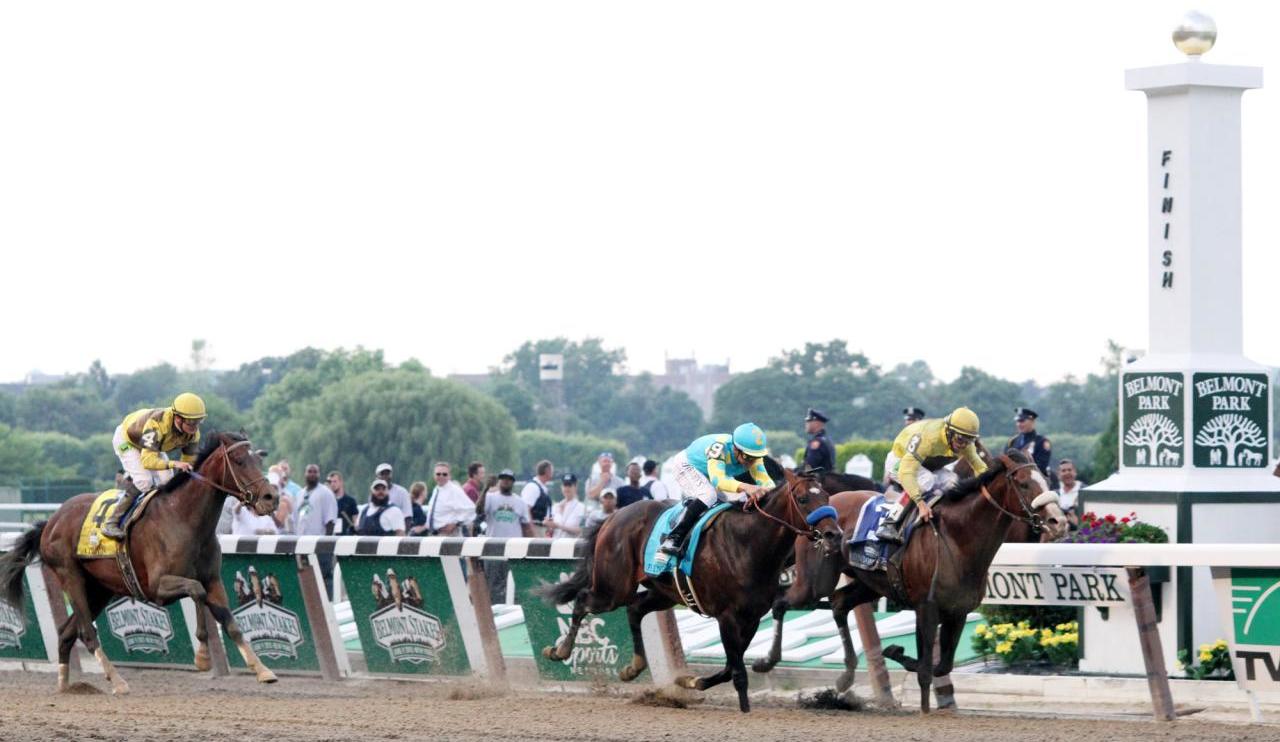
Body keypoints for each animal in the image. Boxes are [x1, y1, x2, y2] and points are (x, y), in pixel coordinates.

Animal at [0, 432, 279, 690]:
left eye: (258, 459)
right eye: (239, 460)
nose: (271, 497)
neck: (183, 519)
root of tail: (51, 522)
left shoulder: (213, 581)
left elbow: (231, 624)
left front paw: (263, 670)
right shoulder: (157, 587)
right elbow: (196, 591)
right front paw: (202, 656)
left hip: (99, 589)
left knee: (67, 633)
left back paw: (66, 687)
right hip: (71, 577)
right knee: (86, 633)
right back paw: (117, 681)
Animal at [537, 470, 844, 711]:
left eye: (827, 497)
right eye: (803, 499)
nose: (834, 535)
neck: (749, 544)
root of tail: (614, 516)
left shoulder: (752, 618)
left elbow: (729, 668)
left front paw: (689, 680)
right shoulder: (727, 616)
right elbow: (737, 671)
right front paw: (745, 710)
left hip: (663, 592)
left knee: (634, 609)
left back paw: (633, 667)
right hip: (613, 588)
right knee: (583, 600)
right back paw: (559, 651)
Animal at [747, 450, 1059, 711]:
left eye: (1044, 478)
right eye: (1023, 483)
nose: (1057, 520)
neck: (957, 538)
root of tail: (821, 510)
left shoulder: (958, 611)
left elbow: (940, 666)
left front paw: (897, 652)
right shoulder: (926, 607)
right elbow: (926, 669)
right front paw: (922, 707)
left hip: (868, 584)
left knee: (838, 604)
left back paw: (846, 676)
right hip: (815, 582)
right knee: (782, 603)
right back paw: (766, 661)